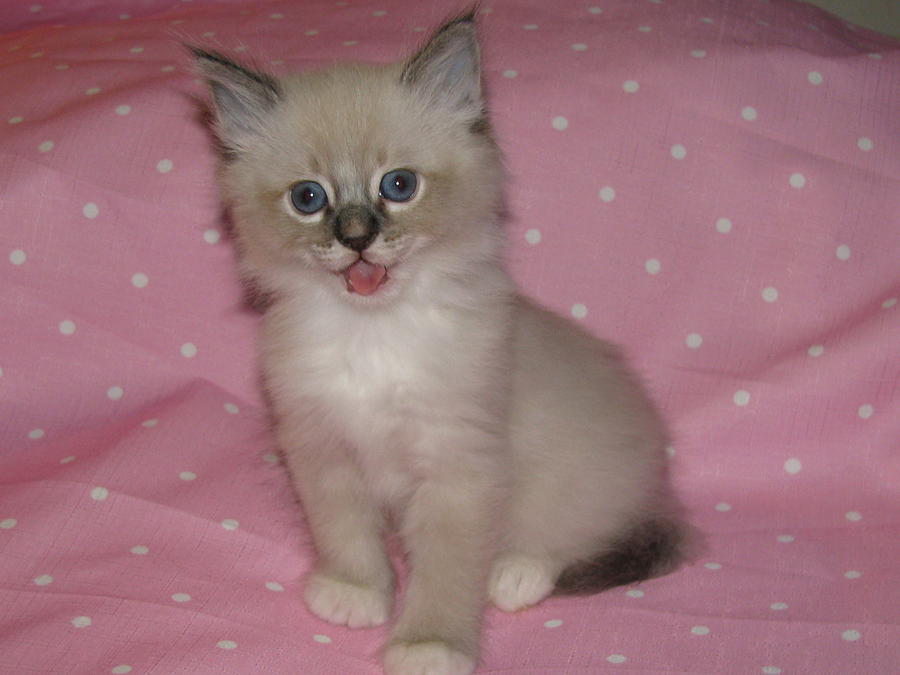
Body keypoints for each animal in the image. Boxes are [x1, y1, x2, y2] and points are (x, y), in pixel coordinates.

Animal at [197, 10, 684, 675]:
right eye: (308, 198)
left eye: (399, 186)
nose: (356, 238)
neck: (373, 333)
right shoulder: (322, 448)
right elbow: (343, 532)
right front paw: (354, 593)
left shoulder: (459, 468)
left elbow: (445, 575)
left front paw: (428, 646)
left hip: (574, 478)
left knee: (571, 533)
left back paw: (515, 574)